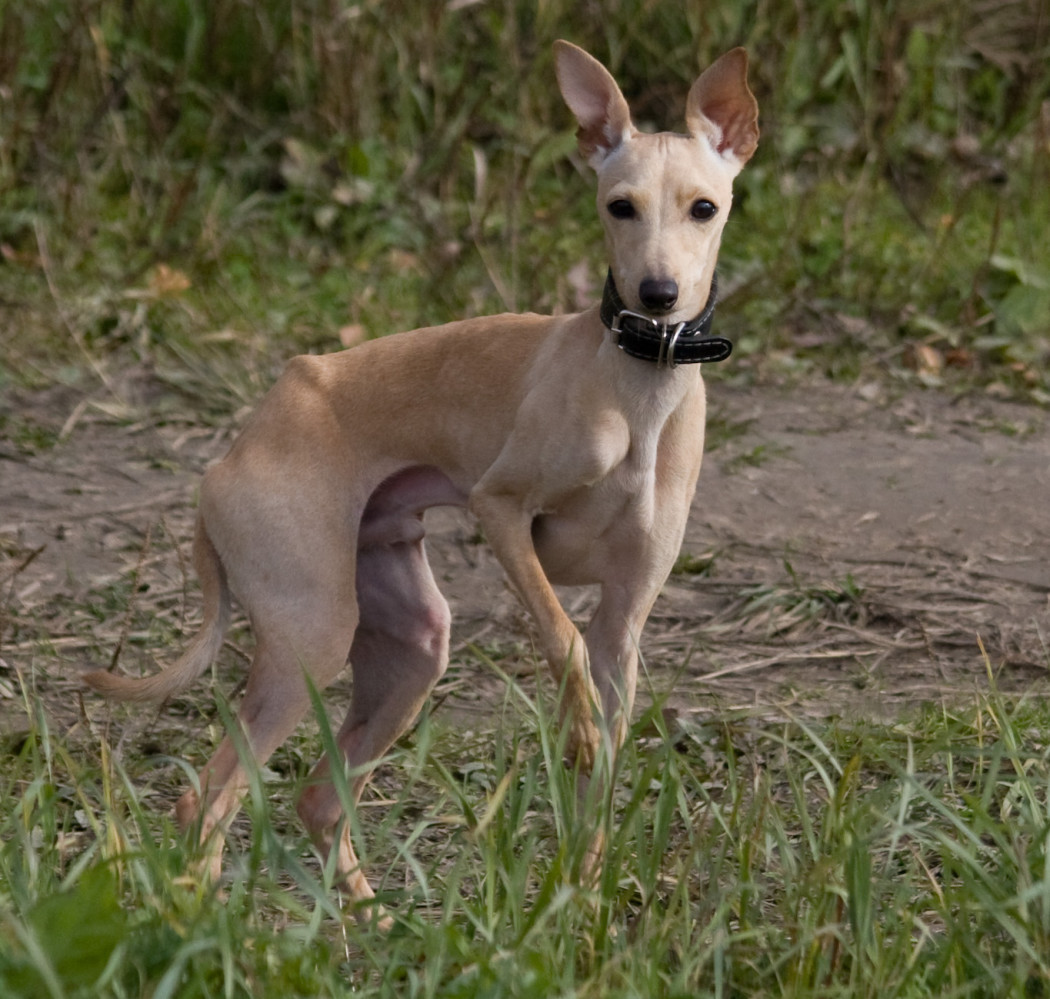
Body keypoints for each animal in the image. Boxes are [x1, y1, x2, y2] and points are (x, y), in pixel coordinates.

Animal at [81, 40, 755, 928]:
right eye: (620, 207)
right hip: (312, 641)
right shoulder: (502, 512)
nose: (658, 296)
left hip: (412, 648)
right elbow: (563, 641)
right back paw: (201, 921)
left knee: (316, 799)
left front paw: (582, 902)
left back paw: (369, 924)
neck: (637, 384)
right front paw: (573, 730)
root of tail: (224, 460)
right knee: (210, 799)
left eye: (703, 208)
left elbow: (598, 780)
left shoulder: (625, 625)